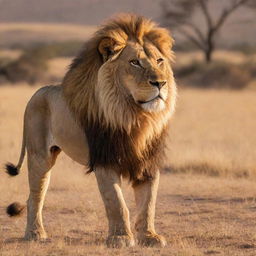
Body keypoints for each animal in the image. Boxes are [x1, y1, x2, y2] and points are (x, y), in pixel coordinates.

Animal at [4, 14, 176, 248]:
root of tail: (37, 92)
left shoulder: (149, 162)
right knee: (35, 197)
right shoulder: (105, 161)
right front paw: (120, 238)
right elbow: (116, 202)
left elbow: (148, 204)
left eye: (159, 61)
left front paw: (149, 237)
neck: (135, 117)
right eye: (134, 62)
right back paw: (35, 234)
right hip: (40, 156)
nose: (160, 83)